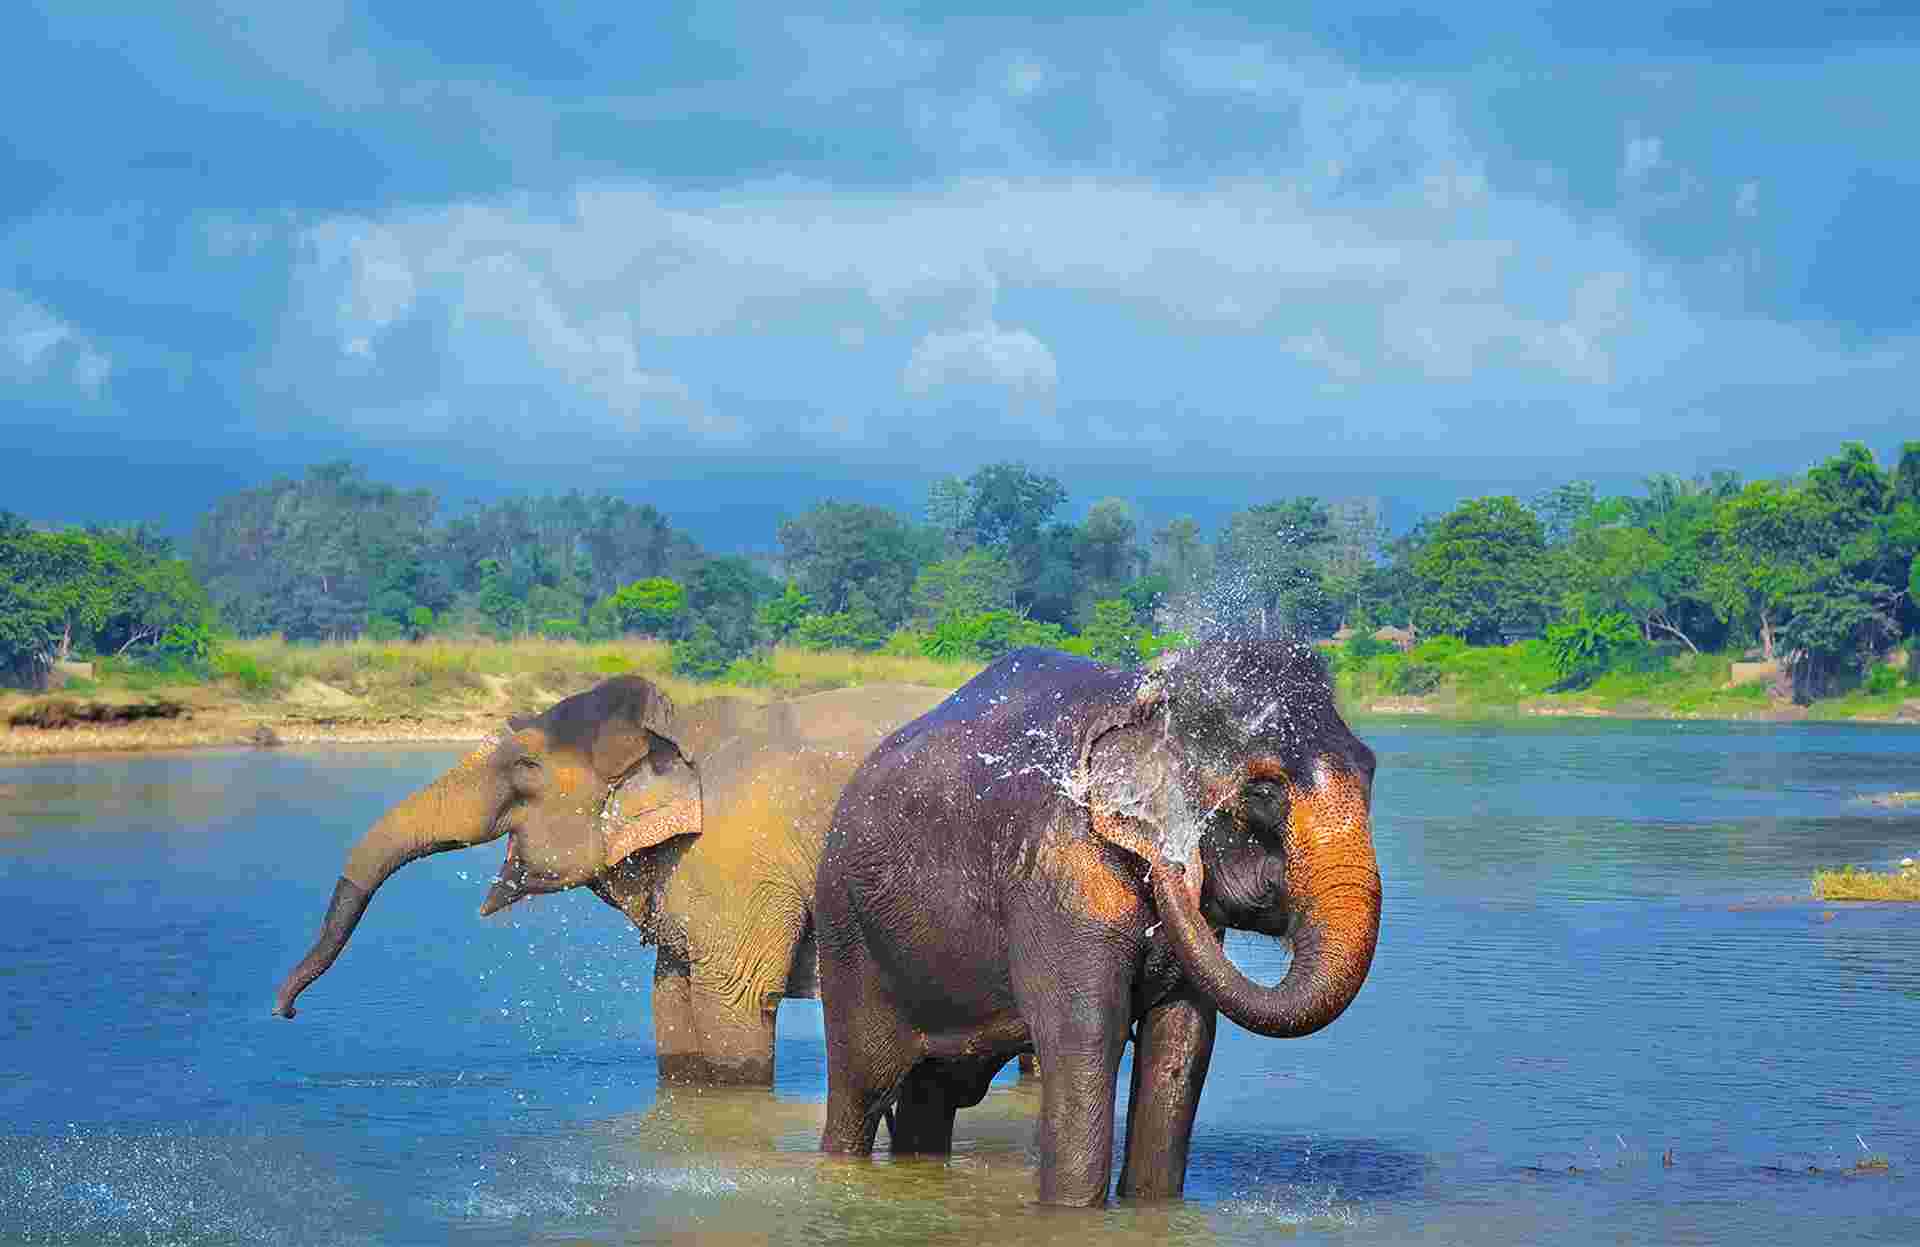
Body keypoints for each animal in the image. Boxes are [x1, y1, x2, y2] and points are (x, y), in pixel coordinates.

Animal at [273, 675, 949, 1087]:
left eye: (525, 766)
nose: (286, 1012)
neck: (681, 729)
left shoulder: (742, 860)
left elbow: (735, 999)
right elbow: (670, 998)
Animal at [813, 639, 1380, 1205]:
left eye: (1371, 771)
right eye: (1264, 791)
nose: (1174, 863)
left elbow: (1182, 1043)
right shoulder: (1059, 876)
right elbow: (1083, 1035)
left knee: (931, 1095)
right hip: (847, 932)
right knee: (863, 1088)